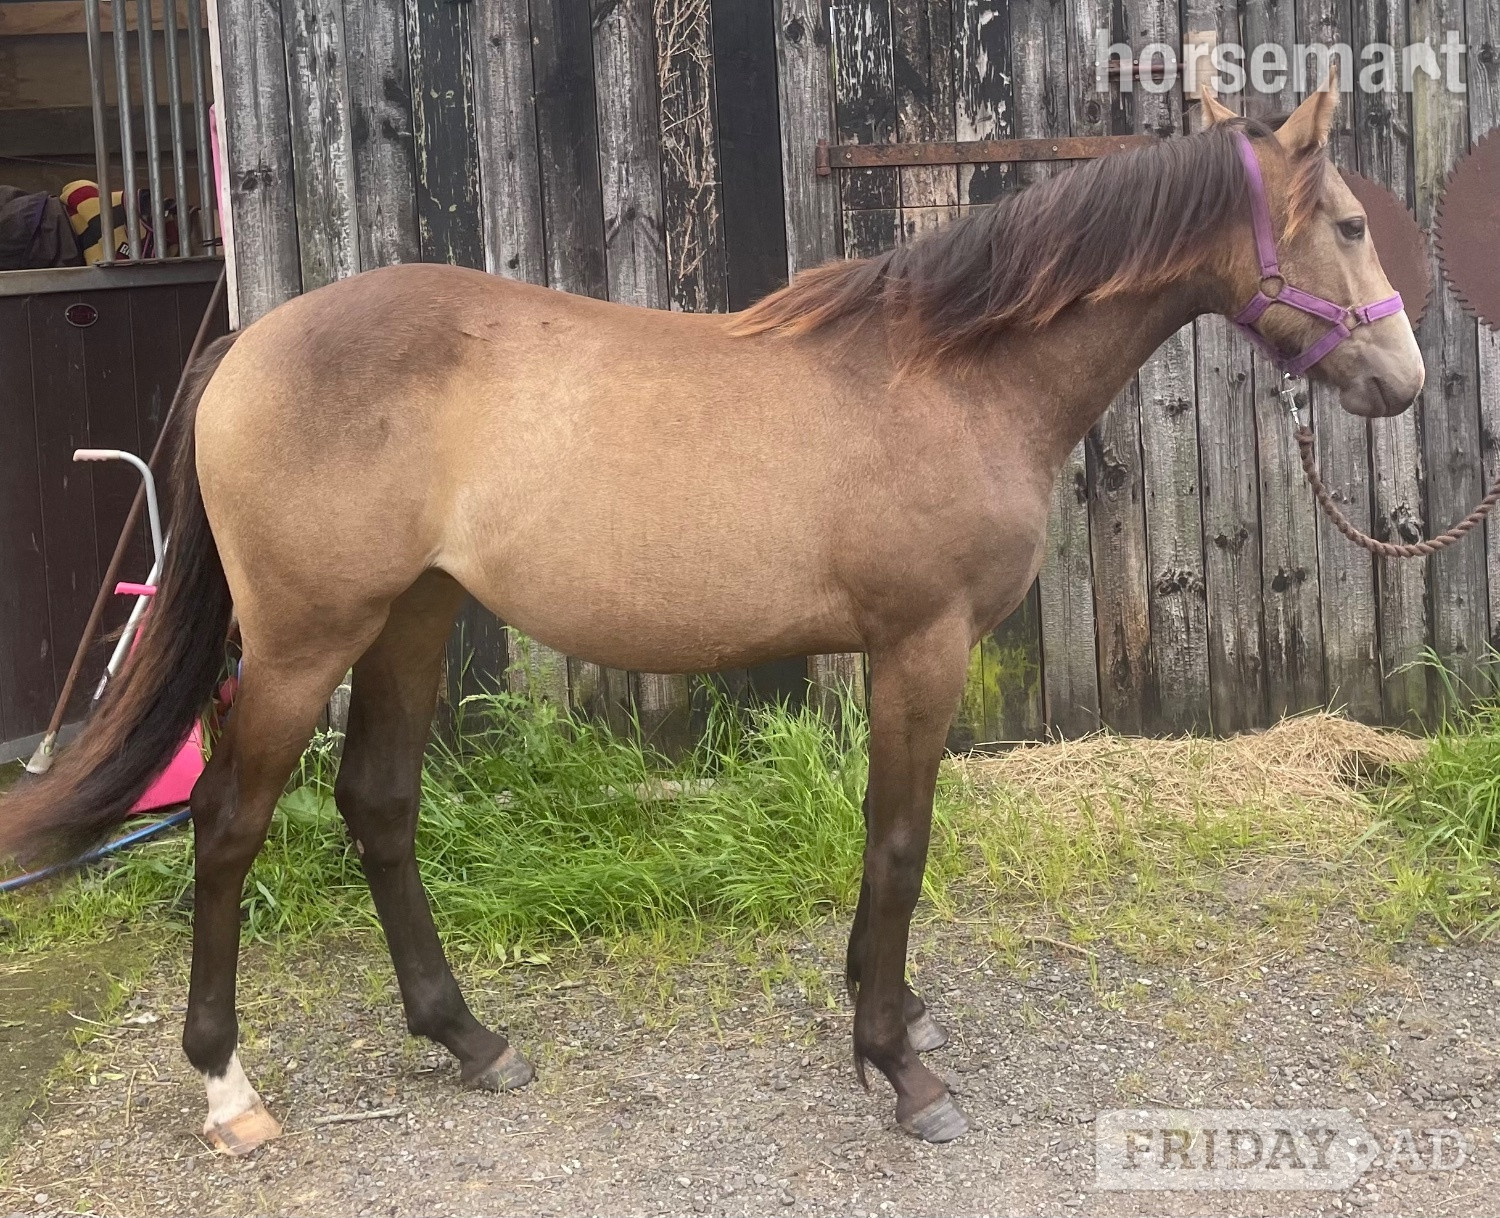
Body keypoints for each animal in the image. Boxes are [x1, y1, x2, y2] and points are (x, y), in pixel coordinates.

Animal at [0, 74, 1422, 1151]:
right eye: (1353, 224)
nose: (1404, 381)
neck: (953, 374)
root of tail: (249, 343)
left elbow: (887, 844)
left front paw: (892, 1019)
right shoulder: (921, 648)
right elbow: (899, 843)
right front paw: (900, 1067)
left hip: (412, 617)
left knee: (379, 806)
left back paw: (470, 1039)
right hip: (305, 641)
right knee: (226, 824)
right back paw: (228, 1089)